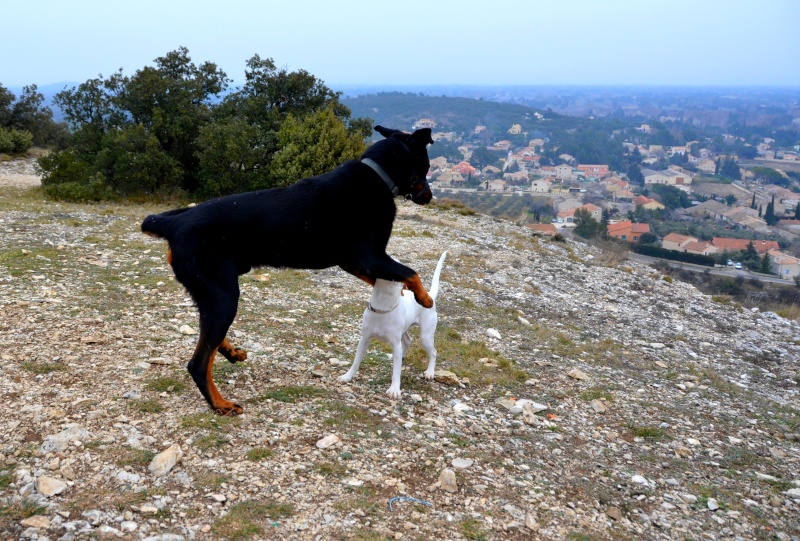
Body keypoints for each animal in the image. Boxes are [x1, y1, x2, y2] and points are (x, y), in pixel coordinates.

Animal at [141, 125, 434, 414]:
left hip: (210, 293)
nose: (431, 196)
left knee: (208, 335)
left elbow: (393, 278)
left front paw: (407, 294)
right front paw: (425, 298)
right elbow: (411, 272)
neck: (378, 174)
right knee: (199, 362)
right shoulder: (370, 258)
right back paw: (221, 404)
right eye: (427, 165)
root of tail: (174, 225)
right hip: (223, 295)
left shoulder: (354, 262)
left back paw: (232, 353)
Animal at [338, 251, 446, 398]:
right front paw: (347, 376)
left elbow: (396, 371)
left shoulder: (395, 343)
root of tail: (429, 295)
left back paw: (430, 372)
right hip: (404, 332)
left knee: (433, 352)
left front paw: (394, 389)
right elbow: (356, 362)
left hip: (426, 337)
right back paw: (399, 356)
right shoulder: (364, 339)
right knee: (407, 341)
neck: (381, 308)